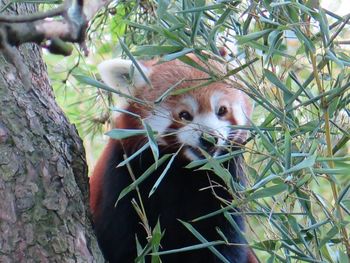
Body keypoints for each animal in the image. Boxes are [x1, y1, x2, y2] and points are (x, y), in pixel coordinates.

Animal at [89, 54, 260, 262]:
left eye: (222, 110)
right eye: (184, 115)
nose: (209, 138)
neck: (182, 171)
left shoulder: (224, 185)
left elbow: (224, 242)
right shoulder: (125, 178)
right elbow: (123, 241)